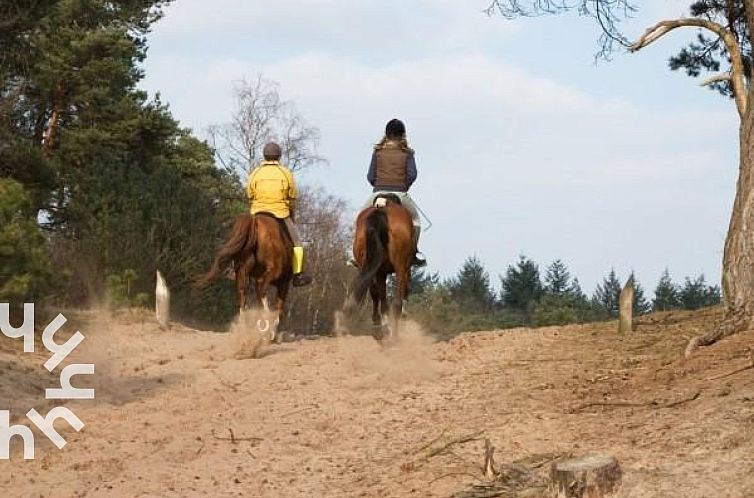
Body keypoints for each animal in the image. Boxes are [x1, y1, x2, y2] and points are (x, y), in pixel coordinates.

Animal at [195, 212, 292, 340]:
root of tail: (254, 221)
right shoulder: (284, 282)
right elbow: (279, 307)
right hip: (273, 272)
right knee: (262, 289)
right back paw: (266, 325)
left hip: (242, 270)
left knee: (242, 295)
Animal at [344, 194, 414, 338]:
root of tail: (382, 208)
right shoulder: (403, 269)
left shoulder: (380, 272)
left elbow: (379, 297)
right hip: (400, 266)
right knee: (397, 303)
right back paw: (394, 335)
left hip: (367, 263)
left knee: (376, 295)